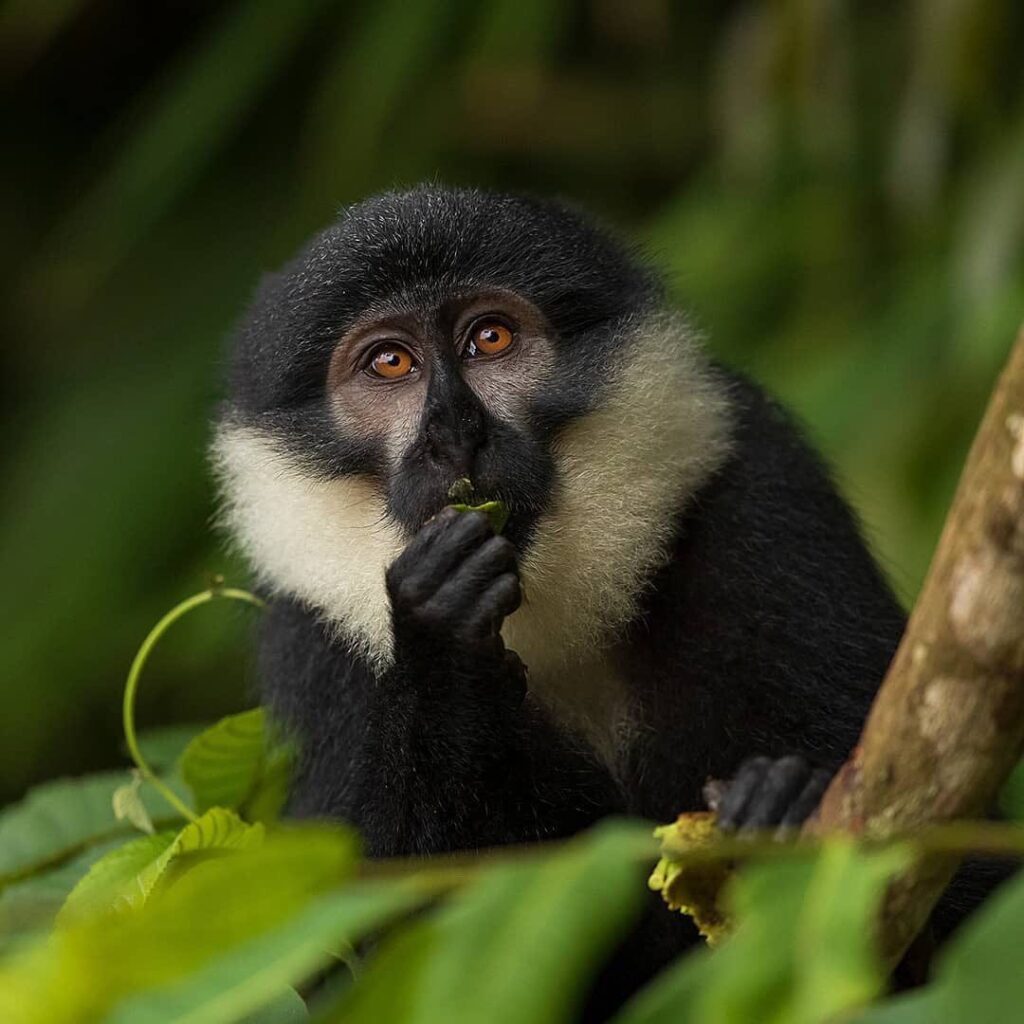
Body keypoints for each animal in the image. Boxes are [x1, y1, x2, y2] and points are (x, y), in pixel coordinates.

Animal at [211, 186, 1011, 1015]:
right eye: (390, 362)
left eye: (489, 338)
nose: (452, 431)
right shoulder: (311, 637)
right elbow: (361, 959)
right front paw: (443, 644)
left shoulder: (763, 491)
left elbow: (975, 868)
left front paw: (779, 810)